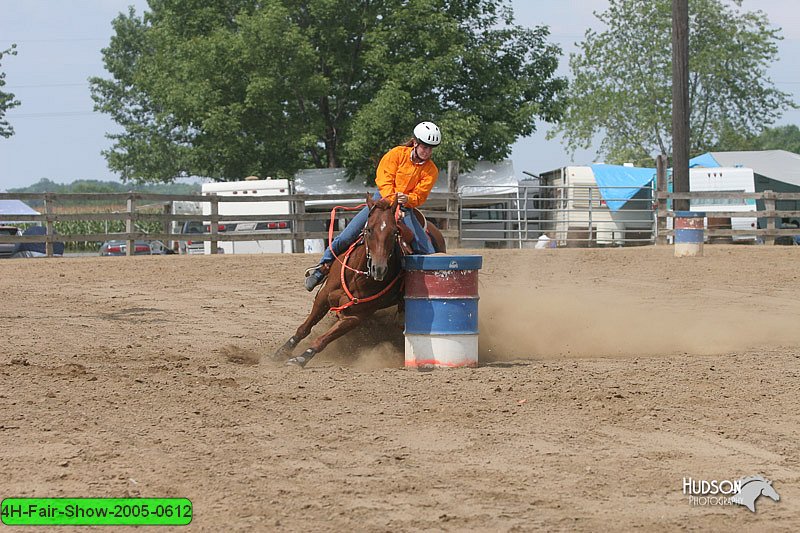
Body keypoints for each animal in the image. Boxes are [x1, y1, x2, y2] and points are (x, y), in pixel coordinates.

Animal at [268, 193, 444, 368]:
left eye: (395, 232)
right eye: (369, 229)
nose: (379, 269)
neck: (357, 277)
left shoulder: (355, 317)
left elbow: (323, 340)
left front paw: (301, 358)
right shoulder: (324, 296)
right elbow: (304, 328)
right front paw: (282, 351)